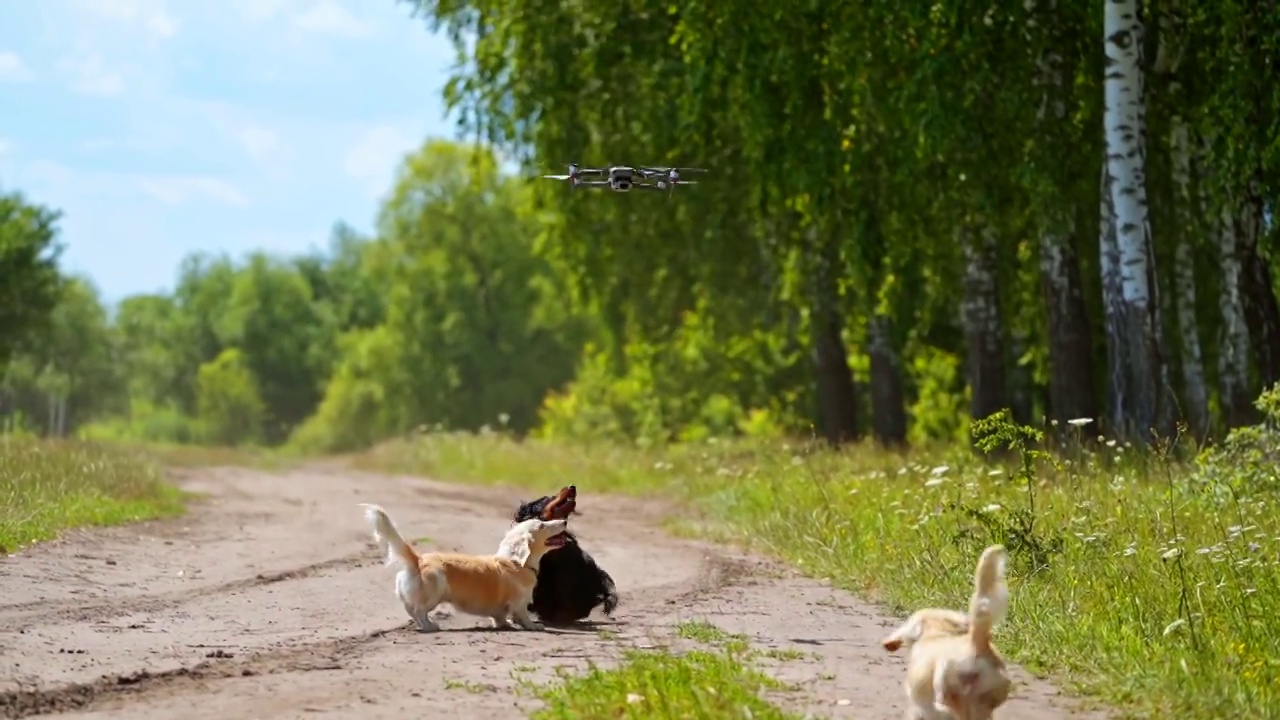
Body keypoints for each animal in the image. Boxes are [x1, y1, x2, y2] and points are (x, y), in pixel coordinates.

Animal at [355, 502, 565, 630]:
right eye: (541, 526)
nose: (564, 521)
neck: (516, 562)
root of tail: (418, 560)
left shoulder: (502, 609)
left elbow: (500, 618)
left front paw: (505, 624)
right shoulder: (519, 602)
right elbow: (523, 616)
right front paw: (533, 626)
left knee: (410, 610)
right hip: (434, 594)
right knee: (419, 611)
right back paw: (430, 626)